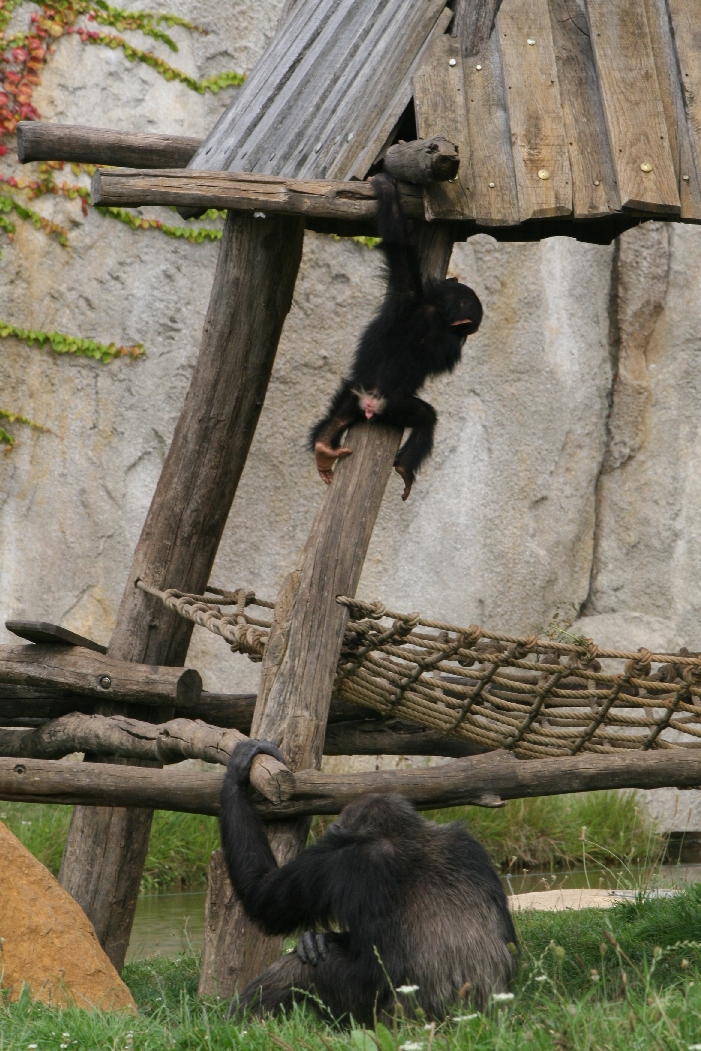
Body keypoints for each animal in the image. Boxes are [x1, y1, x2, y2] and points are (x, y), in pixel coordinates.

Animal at [219, 739, 518, 1025]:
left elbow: (264, 896)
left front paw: (237, 774)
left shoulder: (335, 863)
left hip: (377, 1014)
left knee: (301, 970)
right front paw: (315, 939)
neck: (404, 836)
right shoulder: (471, 847)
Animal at [310, 173, 483, 501]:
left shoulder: (405, 289)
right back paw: (405, 469)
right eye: (468, 332)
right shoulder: (447, 343)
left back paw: (324, 448)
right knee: (427, 419)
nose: (471, 335)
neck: (436, 308)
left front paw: (385, 188)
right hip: (395, 408)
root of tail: (370, 400)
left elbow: (395, 242)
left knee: (338, 415)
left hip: (352, 393)